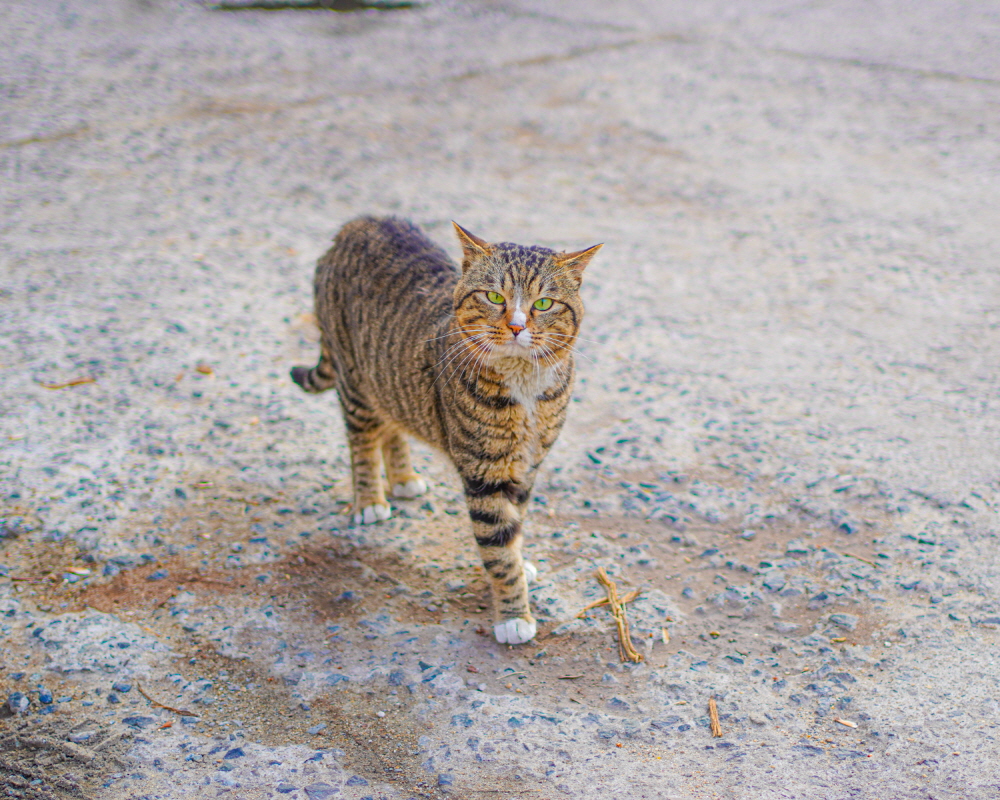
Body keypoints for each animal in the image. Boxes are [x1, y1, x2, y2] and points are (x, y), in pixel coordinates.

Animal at [290, 217, 600, 644]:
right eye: (493, 296)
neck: (525, 385)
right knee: (362, 440)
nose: (516, 326)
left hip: (388, 379)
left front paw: (520, 560)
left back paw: (404, 479)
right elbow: (498, 550)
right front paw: (514, 615)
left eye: (543, 304)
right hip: (353, 377)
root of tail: (359, 223)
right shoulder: (484, 472)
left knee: (393, 424)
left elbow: (514, 528)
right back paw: (369, 500)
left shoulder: (525, 466)